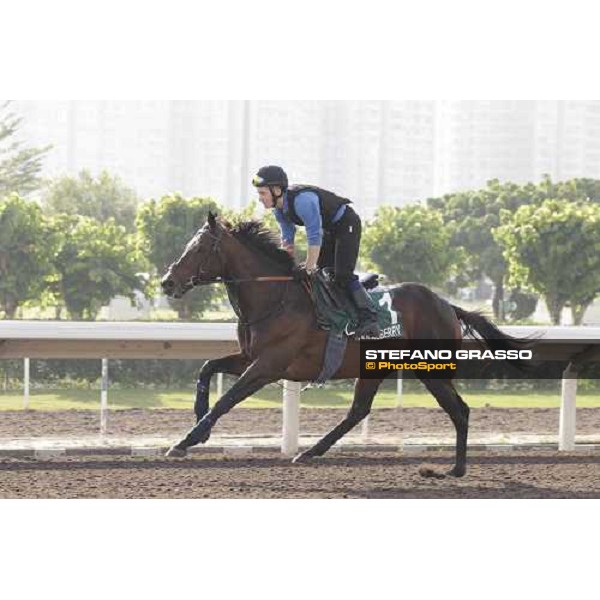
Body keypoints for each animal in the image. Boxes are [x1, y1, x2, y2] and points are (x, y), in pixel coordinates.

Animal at [159, 211, 528, 478]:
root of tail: (448, 305)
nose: (167, 282)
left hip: (430, 368)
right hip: (377, 368)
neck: (275, 297)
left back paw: (457, 469)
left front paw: (186, 439)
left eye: (200, 249)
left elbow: (228, 400)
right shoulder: (249, 356)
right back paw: (310, 452)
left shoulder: (269, 365)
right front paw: (198, 421)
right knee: (358, 410)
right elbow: (207, 368)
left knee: (459, 410)